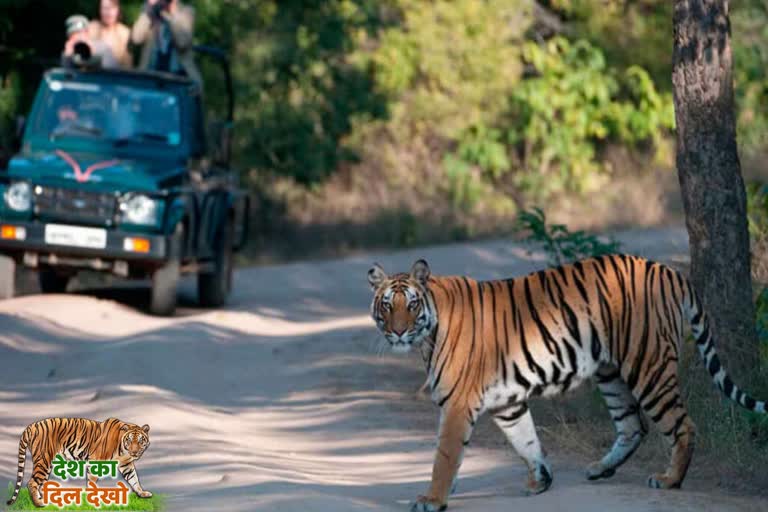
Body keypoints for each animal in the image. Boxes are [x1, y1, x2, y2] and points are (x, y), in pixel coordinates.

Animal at [6, 416, 152, 508]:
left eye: (140, 441)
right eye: (129, 440)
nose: (135, 452)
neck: (123, 450)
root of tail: (31, 426)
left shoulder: (126, 464)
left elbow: (134, 479)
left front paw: (142, 493)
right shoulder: (96, 461)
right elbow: (92, 482)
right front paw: (92, 498)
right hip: (44, 461)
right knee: (32, 482)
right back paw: (39, 504)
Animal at [368, 256, 764, 512]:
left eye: (411, 305)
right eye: (387, 306)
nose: (398, 332)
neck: (427, 334)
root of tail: (667, 269)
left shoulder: (457, 404)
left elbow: (445, 457)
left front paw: (432, 500)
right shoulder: (507, 403)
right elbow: (526, 440)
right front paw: (541, 481)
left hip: (648, 365)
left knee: (682, 424)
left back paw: (670, 479)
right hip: (610, 372)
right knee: (633, 425)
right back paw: (600, 468)